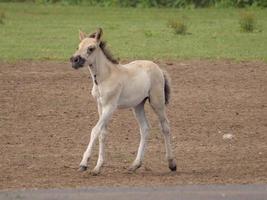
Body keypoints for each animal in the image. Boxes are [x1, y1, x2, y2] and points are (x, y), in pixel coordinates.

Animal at [70, 28, 177, 175]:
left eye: (91, 48)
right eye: (78, 47)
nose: (74, 60)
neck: (105, 77)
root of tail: (159, 69)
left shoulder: (110, 106)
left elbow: (95, 130)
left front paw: (84, 163)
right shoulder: (100, 106)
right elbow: (102, 133)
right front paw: (97, 167)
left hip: (157, 102)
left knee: (165, 126)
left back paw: (171, 163)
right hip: (138, 105)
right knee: (145, 129)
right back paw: (135, 165)